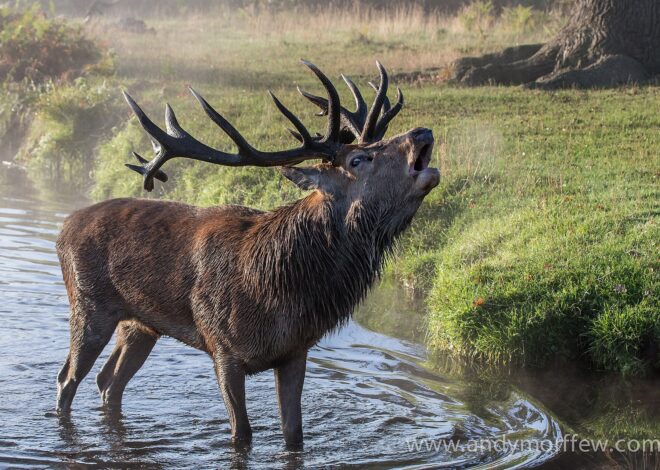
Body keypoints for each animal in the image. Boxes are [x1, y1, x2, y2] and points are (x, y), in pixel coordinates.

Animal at [55, 60, 439, 447]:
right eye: (360, 159)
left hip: (140, 325)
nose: (422, 131)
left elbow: (294, 433)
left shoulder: (295, 352)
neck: (280, 292)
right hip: (89, 306)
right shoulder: (224, 349)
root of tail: (65, 226)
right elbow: (242, 433)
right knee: (67, 379)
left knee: (108, 381)